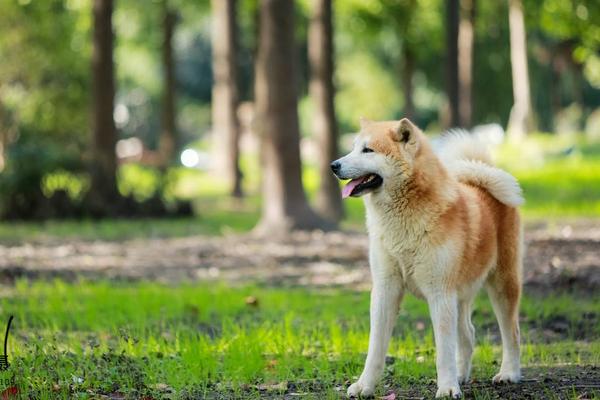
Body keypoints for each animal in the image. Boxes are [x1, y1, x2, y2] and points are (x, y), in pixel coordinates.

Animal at [330, 118, 524, 396]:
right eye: (353, 147)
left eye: (368, 150)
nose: (334, 165)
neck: (404, 220)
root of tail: (483, 176)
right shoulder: (386, 289)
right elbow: (375, 348)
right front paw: (365, 386)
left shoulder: (439, 293)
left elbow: (444, 350)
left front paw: (447, 389)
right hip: (460, 295)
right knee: (468, 334)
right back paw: (462, 375)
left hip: (502, 285)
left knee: (512, 334)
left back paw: (509, 373)